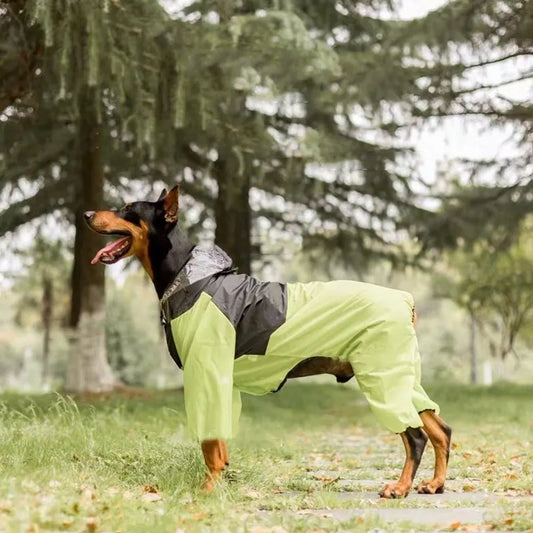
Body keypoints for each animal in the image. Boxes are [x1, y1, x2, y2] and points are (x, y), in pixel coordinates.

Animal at [85, 186, 450, 494]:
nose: (86, 213)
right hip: (401, 375)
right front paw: (221, 480)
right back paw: (434, 484)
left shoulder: (205, 373)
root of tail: (404, 300)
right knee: (439, 428)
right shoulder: (221, 381)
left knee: (415, 436)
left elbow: (208, 444)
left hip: (381, 376)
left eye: (128, 208)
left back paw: (400, 487)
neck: (188, 277)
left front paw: (207, 491)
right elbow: (219, 442)